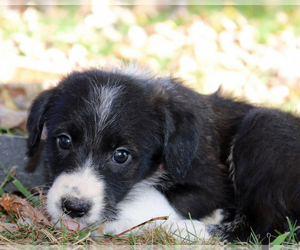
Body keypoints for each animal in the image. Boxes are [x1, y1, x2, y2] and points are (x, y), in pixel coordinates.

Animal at [26, 66, 300, 242]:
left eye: (121, 156)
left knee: (264, 228)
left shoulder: (211, 186)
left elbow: (155, 197)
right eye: (64, 141)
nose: (74, 208)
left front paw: (117, 221)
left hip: (261, 127)